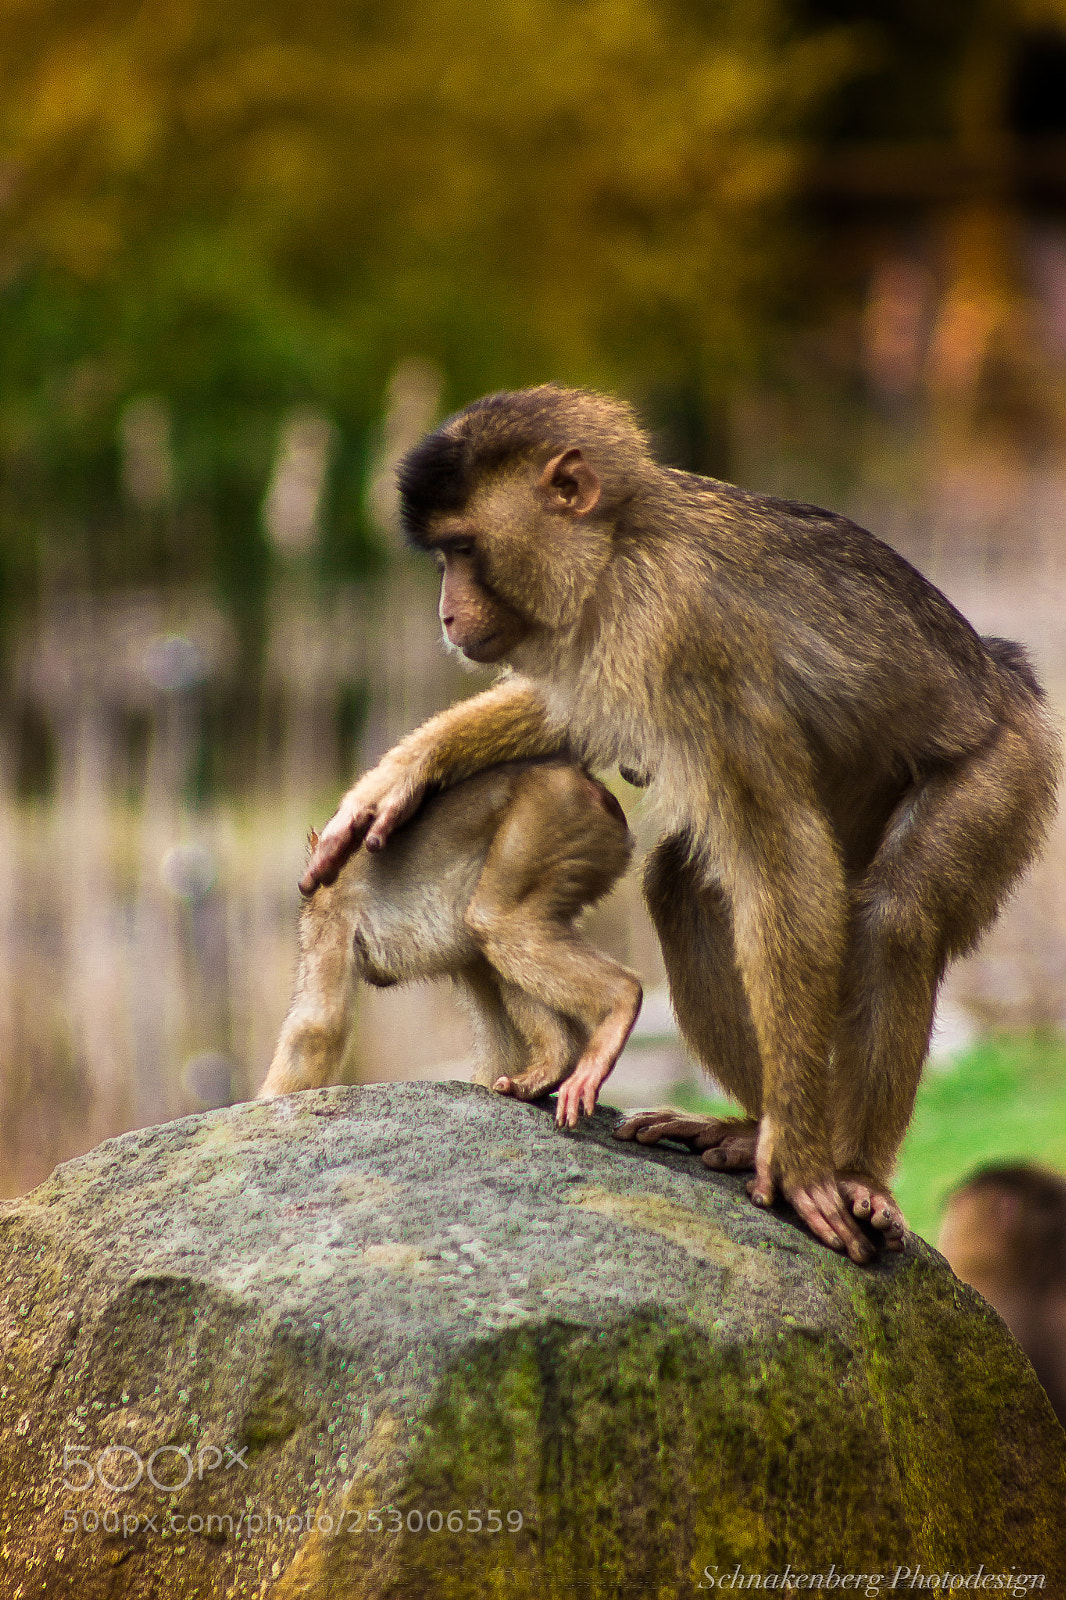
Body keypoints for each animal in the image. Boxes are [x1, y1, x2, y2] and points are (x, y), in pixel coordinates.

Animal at [259, 758, 642, 1128]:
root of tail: (591, 786)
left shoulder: (328, 912)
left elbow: (318, 1025)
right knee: (497, 942)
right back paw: (557, 1062)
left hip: (552, 812)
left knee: (498, 922)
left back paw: (621, 999)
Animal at [298, 384, 1061, 1265]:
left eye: (461, 549)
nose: (446, 614)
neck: (616, 548)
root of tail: (1004, 669)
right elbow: (574, 720)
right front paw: (396, 779)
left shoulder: (678, 635)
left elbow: (784, 867)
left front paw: (804, 1169)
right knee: (688, 886)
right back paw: (753, 1127)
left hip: (1005, 764)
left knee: (895, 916)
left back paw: (848, 1168)